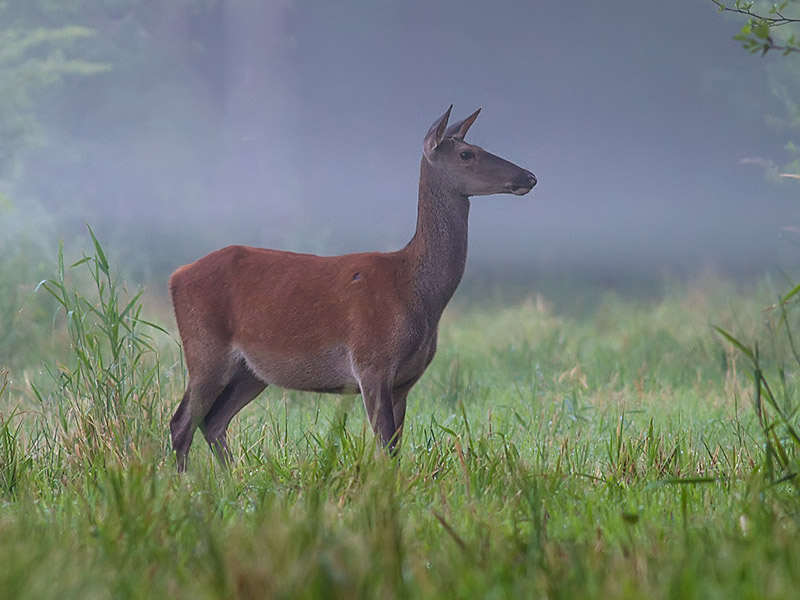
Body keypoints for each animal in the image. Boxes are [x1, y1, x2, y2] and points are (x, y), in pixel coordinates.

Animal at [169, 109, 536, 474]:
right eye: (466, 154)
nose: (530, 176)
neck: (414, 290)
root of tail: (177, 276)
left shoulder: (405, 380)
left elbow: (394, 445)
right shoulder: (371, 362)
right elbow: (384, 443)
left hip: (251, 370)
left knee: (213, 421)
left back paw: (232, 477)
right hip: (205, 349)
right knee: (182, 422)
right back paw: (186, 480)